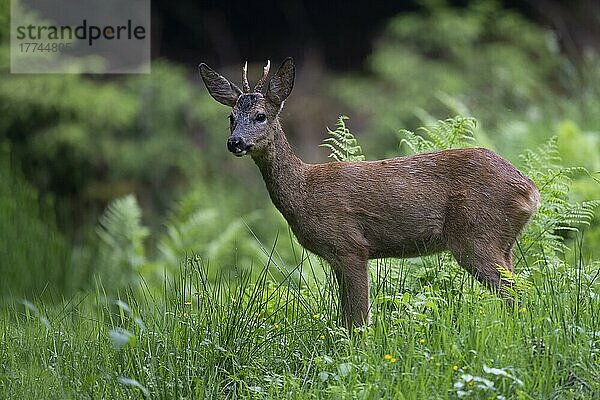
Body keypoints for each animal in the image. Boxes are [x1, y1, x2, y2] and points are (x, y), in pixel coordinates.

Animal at [199, 58, 540, 328]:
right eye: (231, 117)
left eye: (260, 115)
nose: (235, 142)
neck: (303, 191)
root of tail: (530, 190)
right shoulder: (336, 258)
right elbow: (346, 316)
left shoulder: (350, 245)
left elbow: (359, 319)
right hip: (502, 241)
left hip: (476, 235)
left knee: (515, 293)